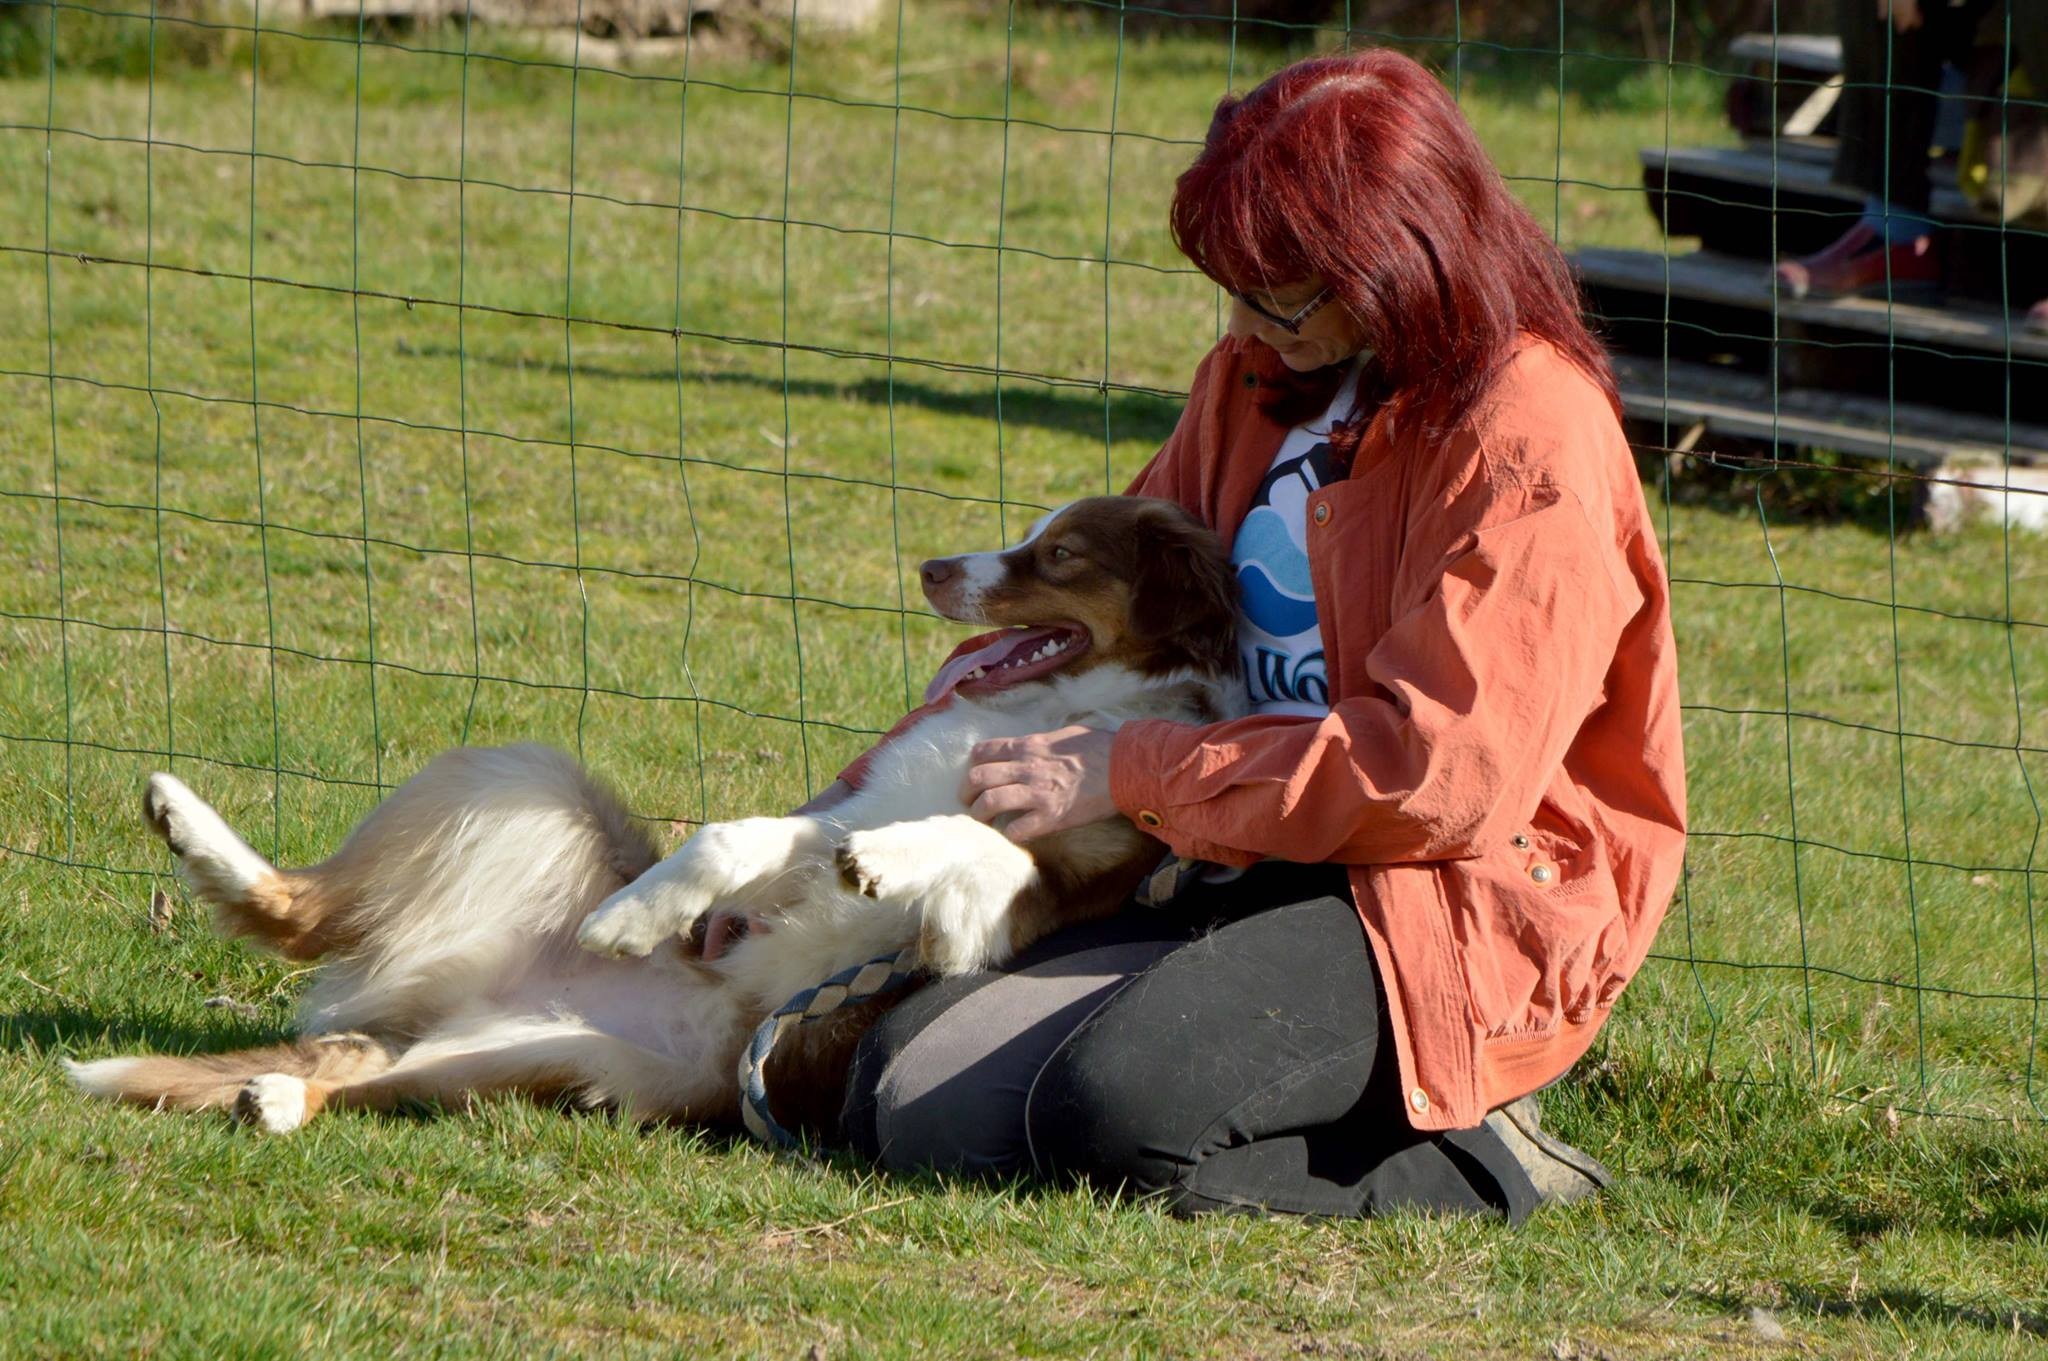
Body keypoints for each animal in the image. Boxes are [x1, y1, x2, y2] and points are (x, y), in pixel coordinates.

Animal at [68, 497, 1228, 1137]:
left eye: (1061, 553)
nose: (933, 568)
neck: (1047, 707)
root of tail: (467, 1005)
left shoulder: (1014, 906)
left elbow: (974, 834)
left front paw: (884, 863)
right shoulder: (840, 808)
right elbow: (737, 833)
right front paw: (639, 912)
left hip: (523, 1062)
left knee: (368, 1079)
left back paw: (277, 1096)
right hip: (524, 781)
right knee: (312, 931)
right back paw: (187, 830)